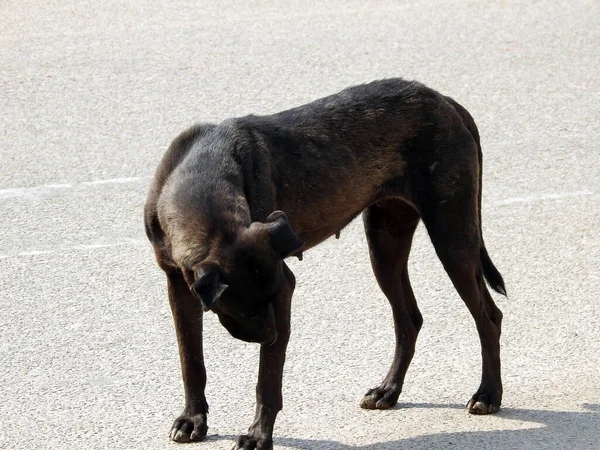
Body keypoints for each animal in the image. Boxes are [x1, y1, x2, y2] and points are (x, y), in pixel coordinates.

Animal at [145, 79, 506, 448]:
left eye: (265, 302)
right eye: (242, 309)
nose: (275, 337)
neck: (201, 177)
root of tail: (444, 99)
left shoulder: (283, 287)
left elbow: (267, 380)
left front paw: (258, 435)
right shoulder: (179, 284)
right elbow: (191, 361)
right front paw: (192, 419)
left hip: (452, 235)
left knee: (488, 316)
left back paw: (488, 394)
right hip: (385, 242)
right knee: (409, 319)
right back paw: (388, 390)